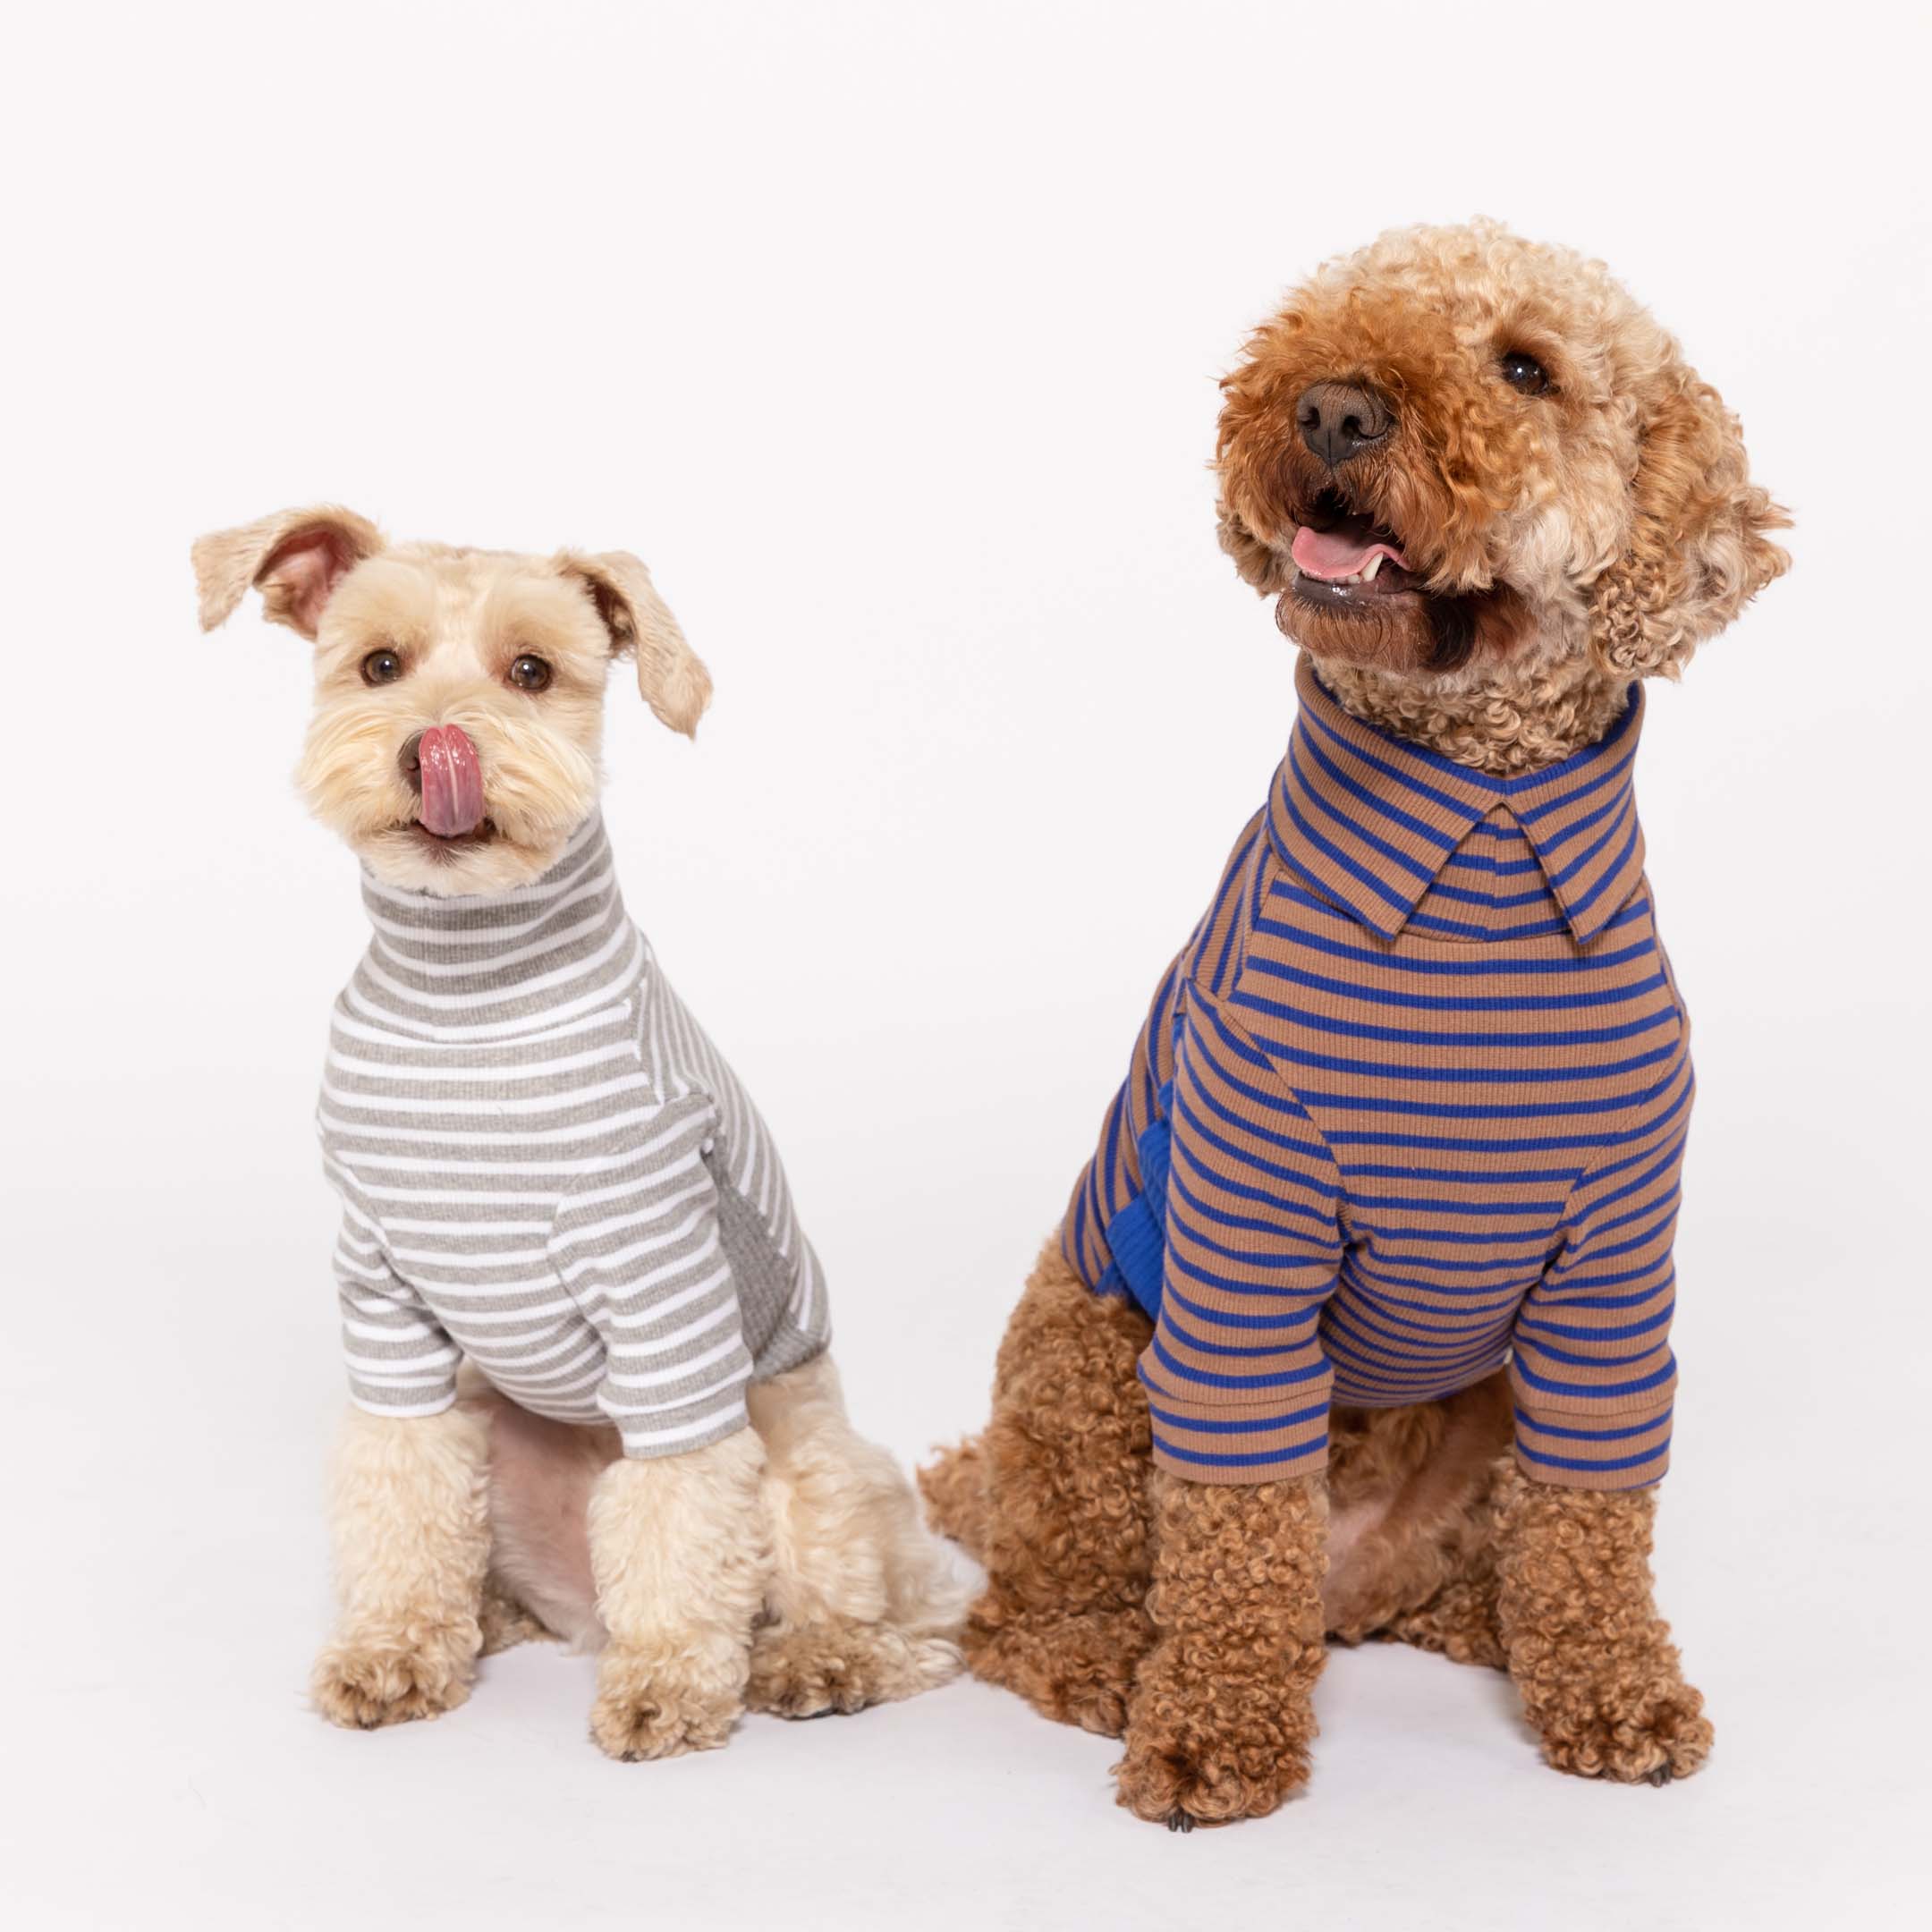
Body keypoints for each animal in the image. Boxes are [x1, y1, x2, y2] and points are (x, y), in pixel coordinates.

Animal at [927, 222, 1784, 1824]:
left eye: (1528, 368)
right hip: (1082, 1360)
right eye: (1316, 327)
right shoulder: (1246, 1240)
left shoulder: (1615, 1263)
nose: (1327, 409)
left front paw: (1615, 1690)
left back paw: (1482, 1621)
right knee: (1029, 1607)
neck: (1484, 826)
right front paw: (1211, 1731)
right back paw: (1112, 1663)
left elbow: (1593, 1519)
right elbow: (1235, 1518)